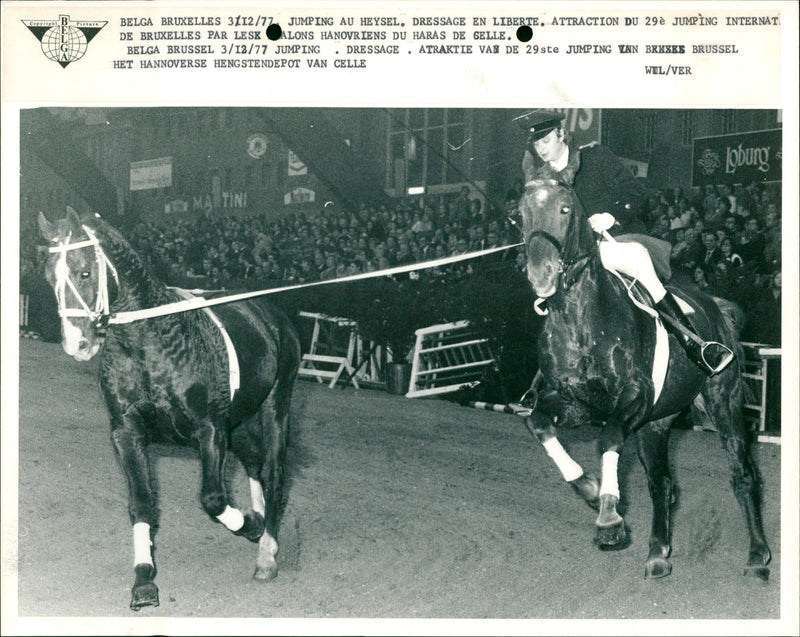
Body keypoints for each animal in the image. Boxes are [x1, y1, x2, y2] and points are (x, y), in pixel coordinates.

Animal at [37, 207, 300, 608]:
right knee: (255, 464)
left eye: (84, 272)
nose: (76, 343)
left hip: (274, 407)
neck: (149, 342)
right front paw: (144, 580)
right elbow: (142, 503)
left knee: (272, 472)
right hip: (239, 423)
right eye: (50, 276)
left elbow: (212, 499)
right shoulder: (127, 433)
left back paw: (266, 550)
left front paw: (251, 527)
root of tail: (268, 313)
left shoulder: (210, 431)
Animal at [516, 180, 772, 580]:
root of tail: (716, 308)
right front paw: (590, 489)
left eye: (565, 209)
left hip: (722, 402)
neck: (579, 317)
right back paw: (657, 552)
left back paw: (758, 556)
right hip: (655, 423)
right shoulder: (574, 404)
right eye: (521, 213)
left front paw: (609, 518)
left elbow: (607, 439)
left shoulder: (632, 396)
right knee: (661, 482)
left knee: (742, 474)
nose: (540, 273)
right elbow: (538, 424)